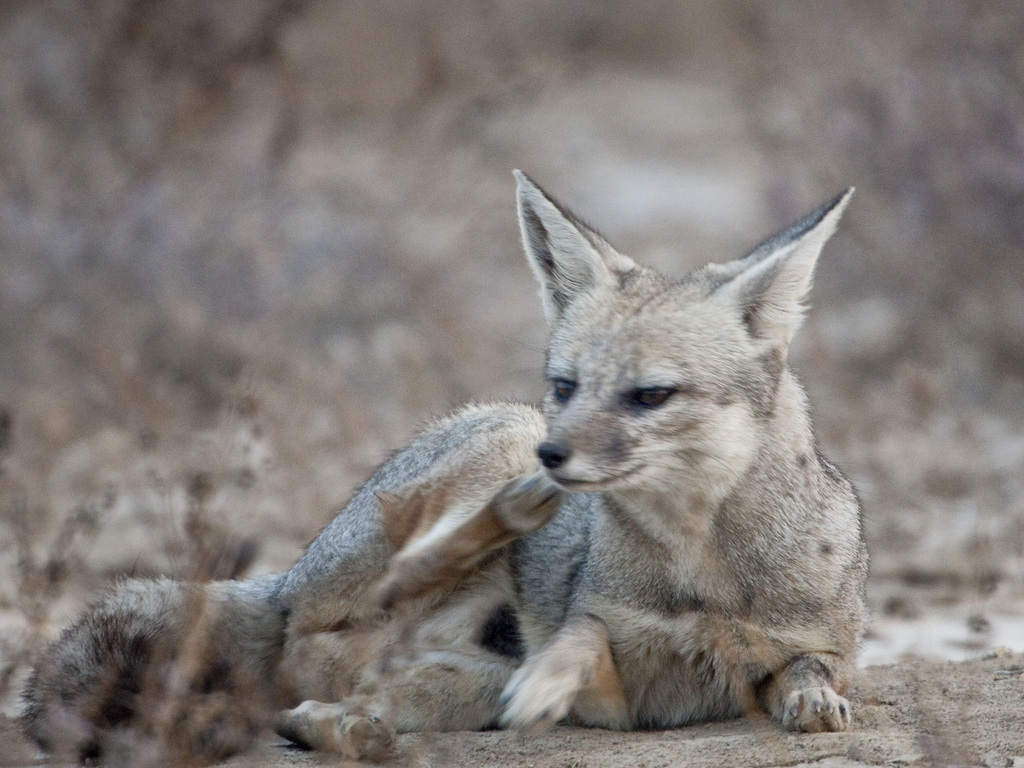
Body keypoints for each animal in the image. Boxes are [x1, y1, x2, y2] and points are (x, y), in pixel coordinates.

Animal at [22, 171, 864, 765]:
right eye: (566, 386)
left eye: (650, 395)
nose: (555, 456)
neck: (701, 575)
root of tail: (284, 579)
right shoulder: (618, 689)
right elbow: (580, 636)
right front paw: (548, 676)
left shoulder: (813, 648)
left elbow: (809, 668)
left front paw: (811, 703)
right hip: (492, 446)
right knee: (351, 609)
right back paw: (508, 519)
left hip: (458, 676)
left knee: (311, 699)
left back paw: (346, 727)